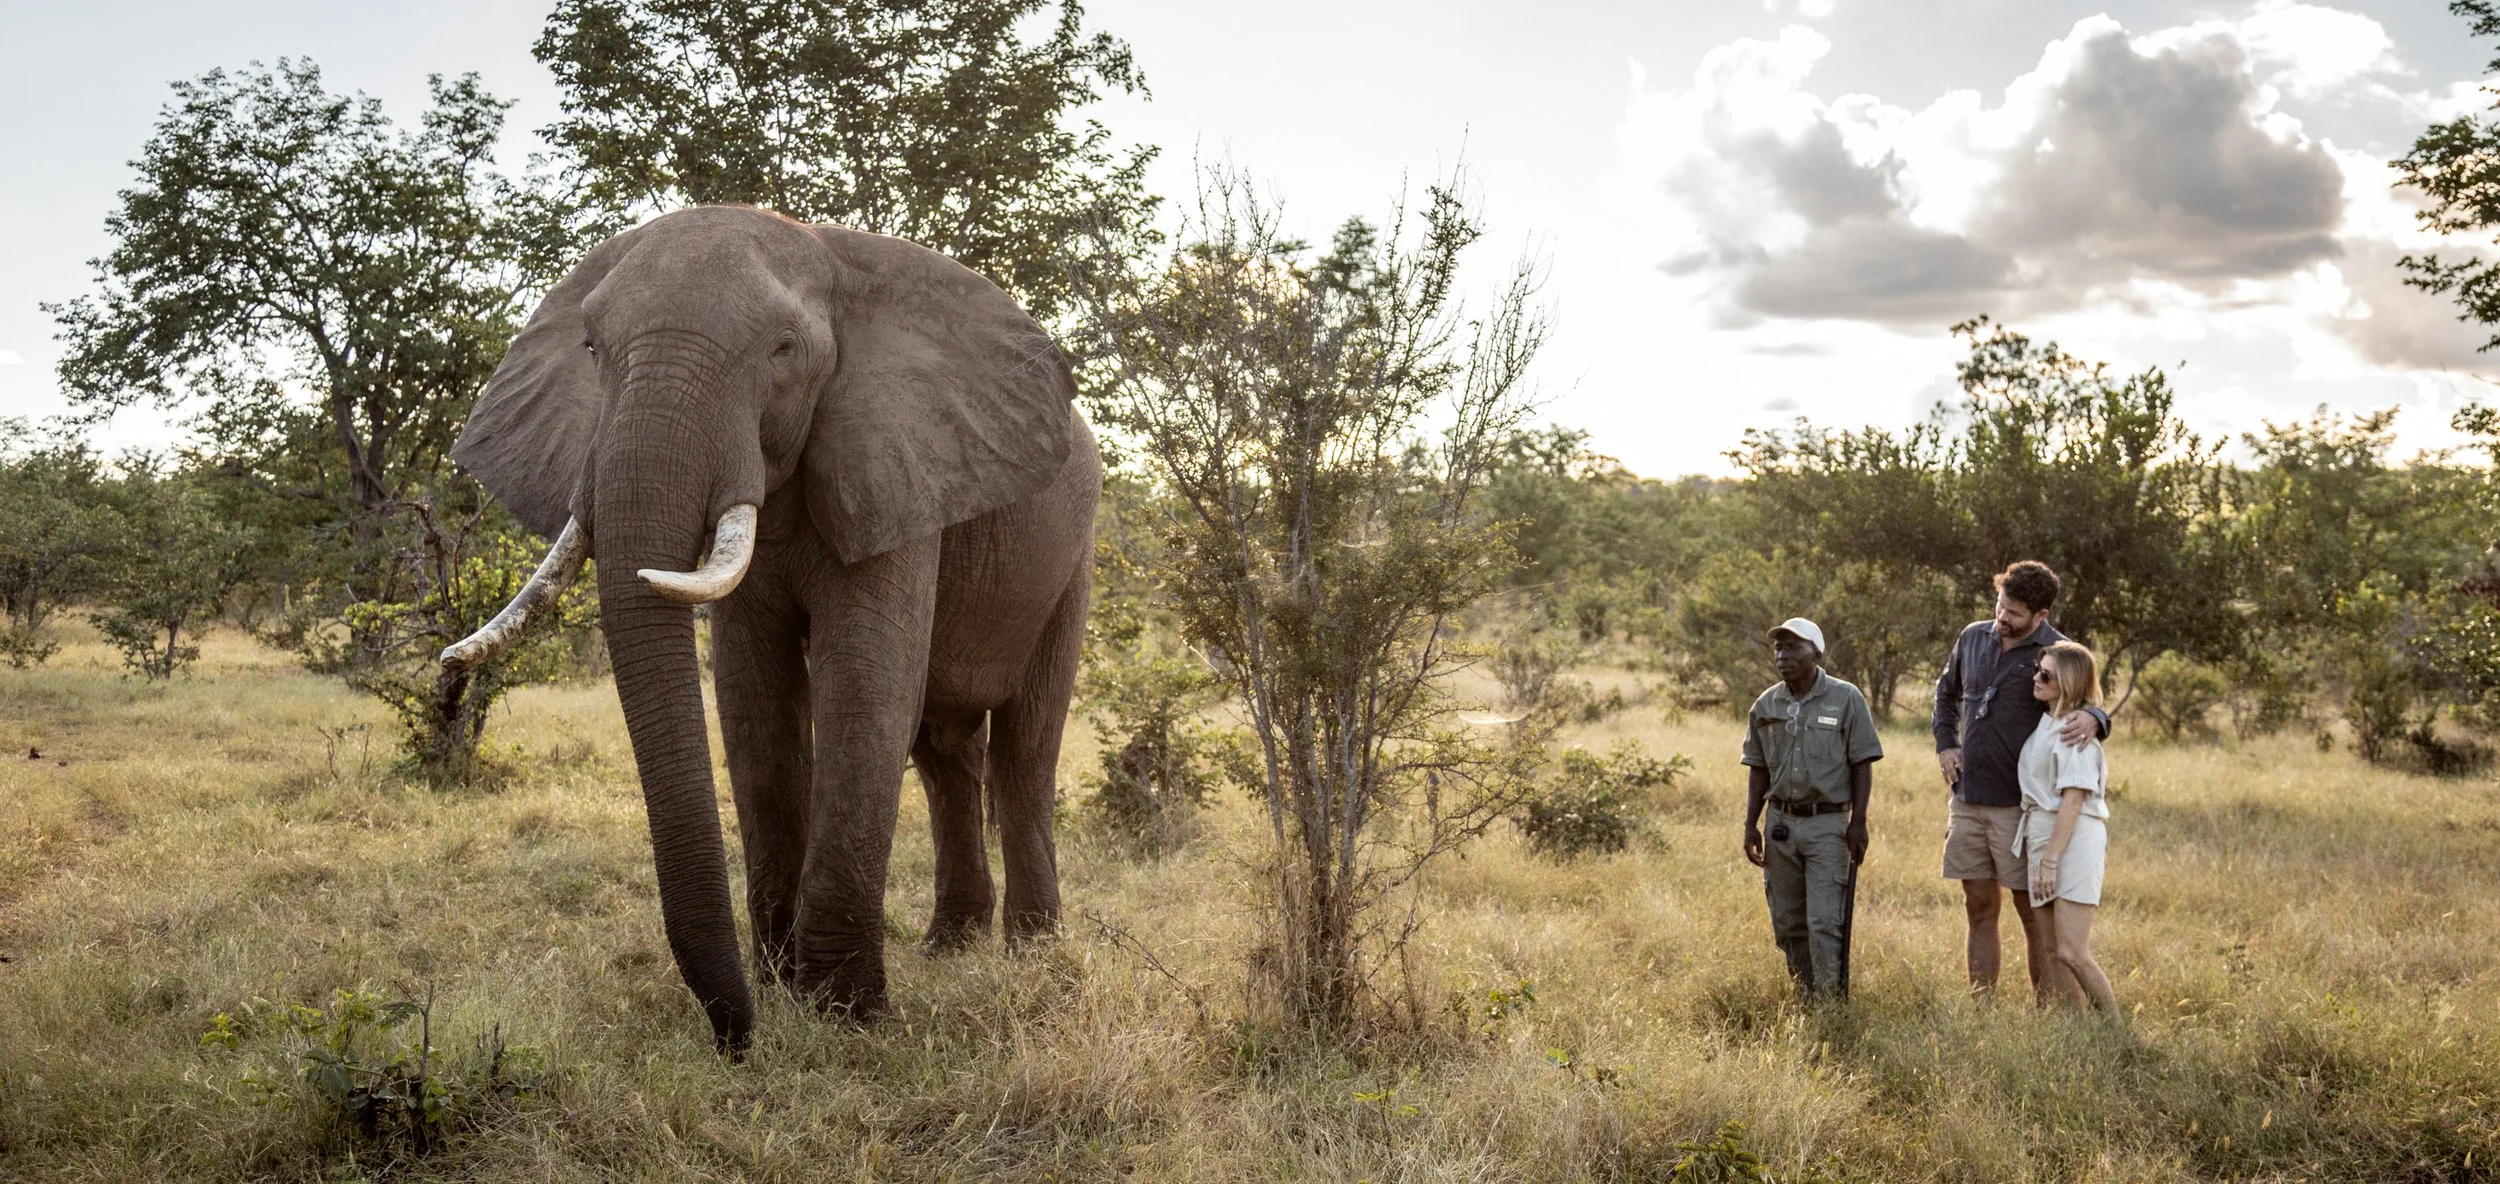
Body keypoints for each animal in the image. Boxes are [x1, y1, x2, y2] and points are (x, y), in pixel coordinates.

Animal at [439, 204, 1100, 1053]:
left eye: (784, 348)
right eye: (590, 349)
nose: (736, 1038)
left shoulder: (896, 463)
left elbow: (865, 686)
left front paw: (845, 1014)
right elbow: (753, 699)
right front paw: (790, 994)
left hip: (1072, 557)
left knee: (1025, 745)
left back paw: (1032, 954)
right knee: (944, 752)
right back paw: (949, 949)